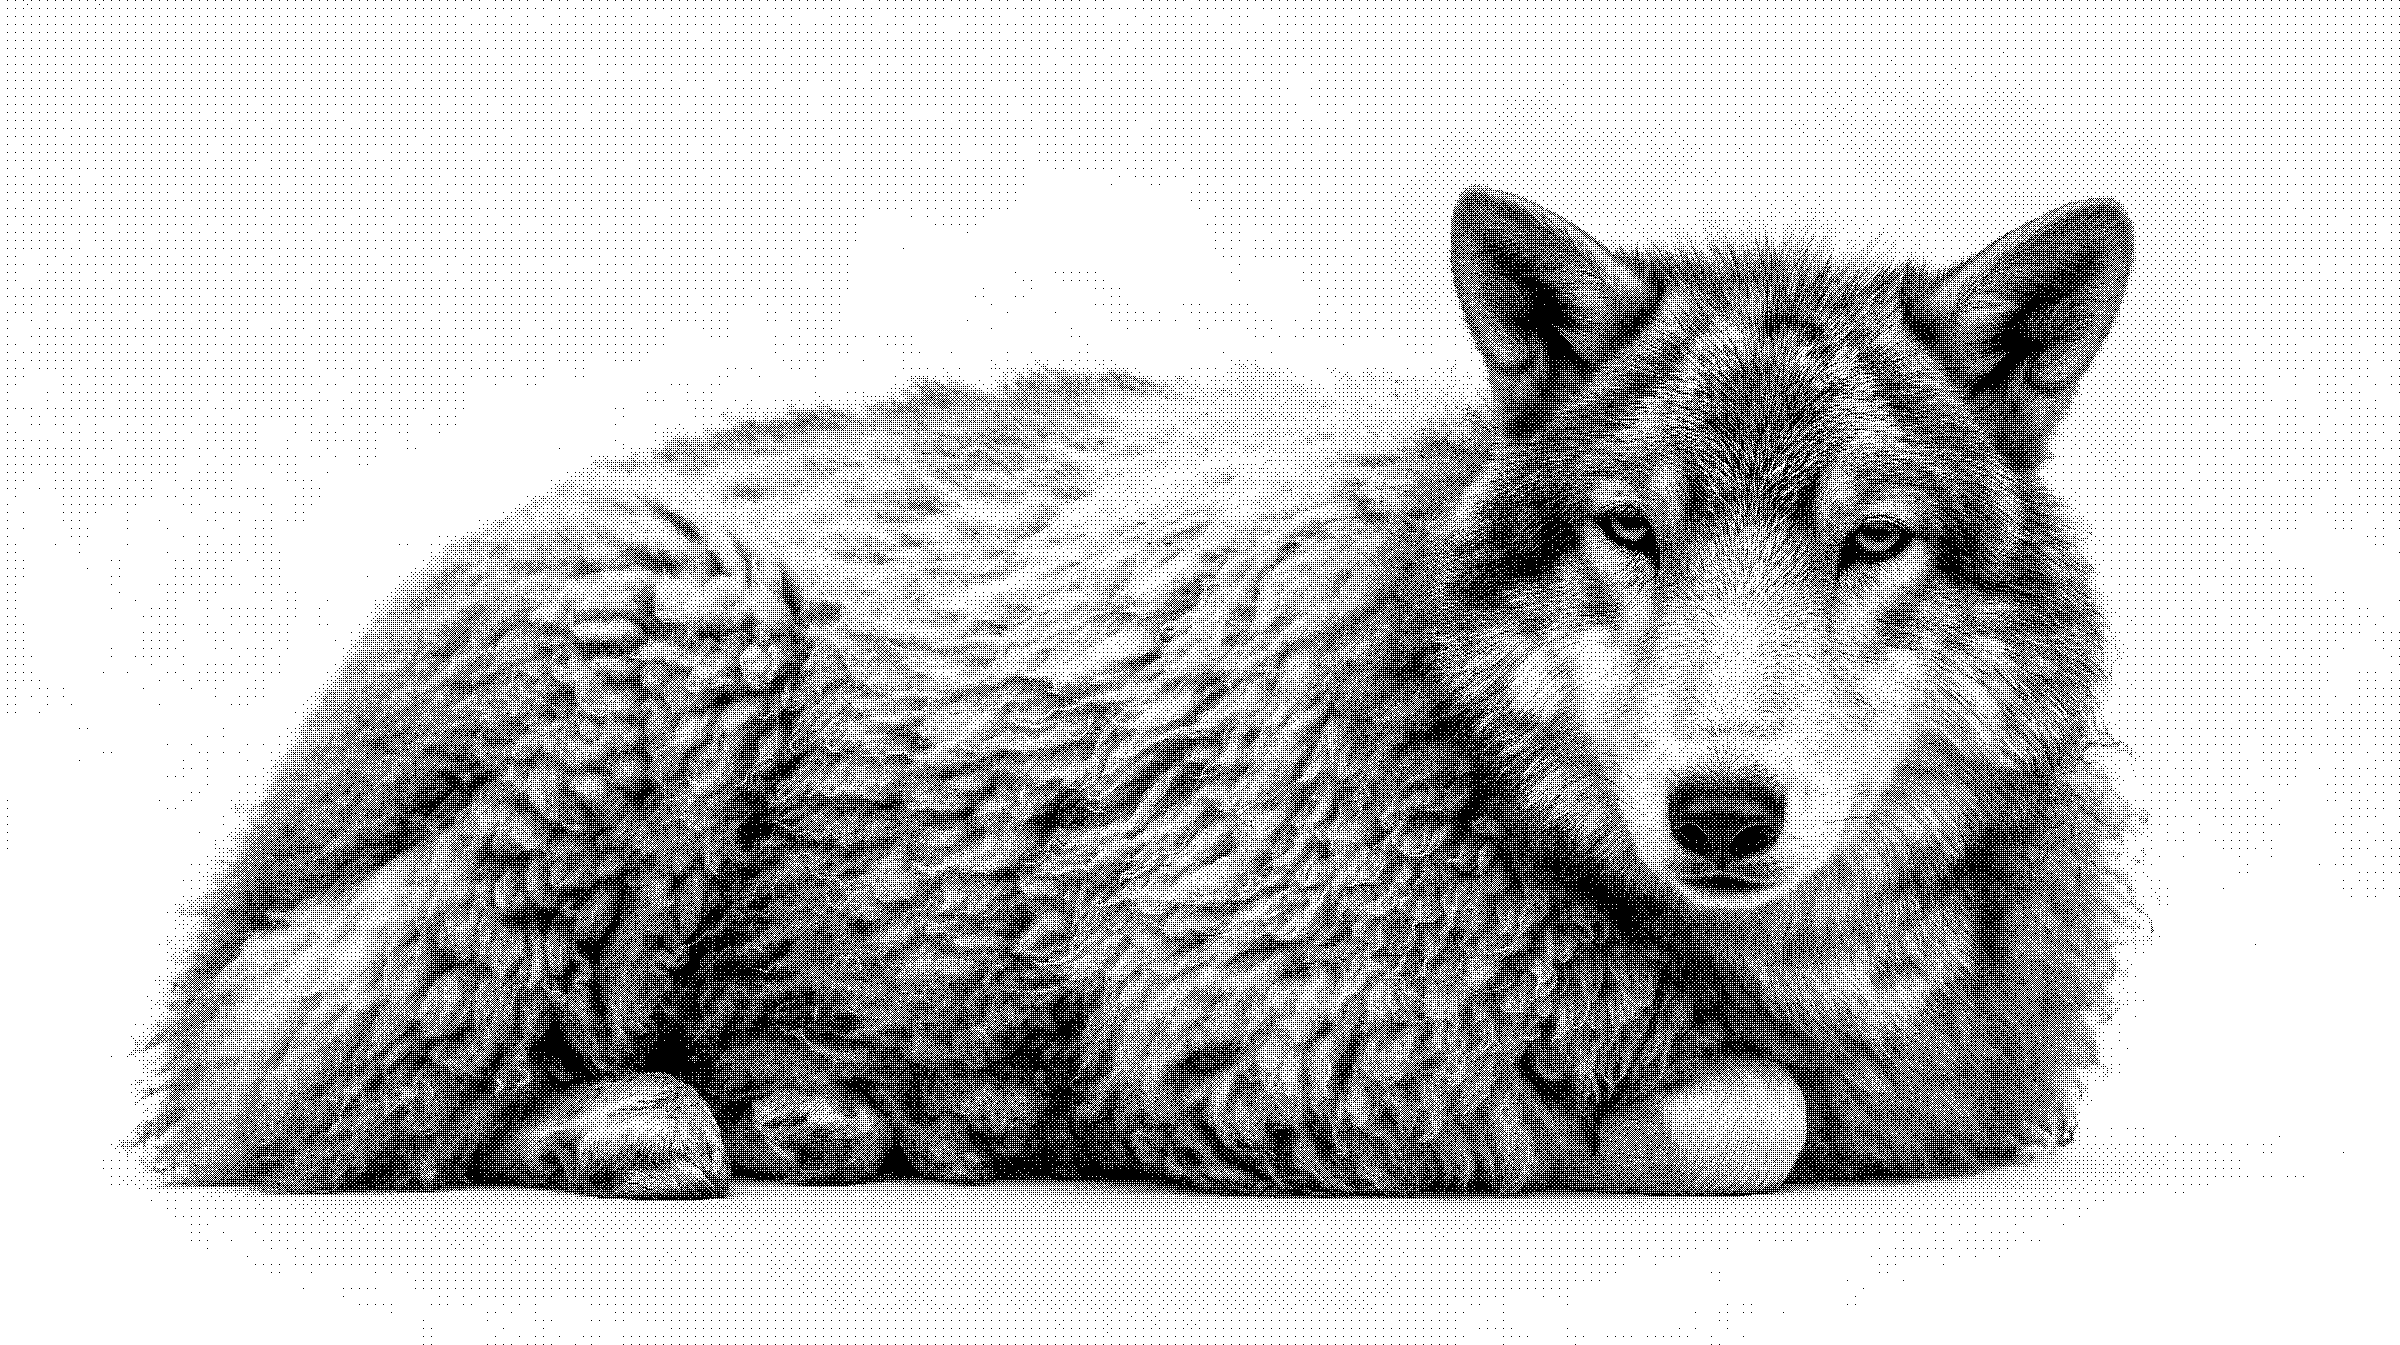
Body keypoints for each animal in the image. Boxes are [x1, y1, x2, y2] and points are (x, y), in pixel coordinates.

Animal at [140, 188, 2139, 1197]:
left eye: (1872, 539)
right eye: (1630, 528)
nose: (1725, 813)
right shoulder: (1266, 1031)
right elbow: (1740, 1119)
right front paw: (1640, 1131)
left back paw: (813, 1108)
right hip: (676, 631)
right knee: (301, 1070)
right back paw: (638, 1124)